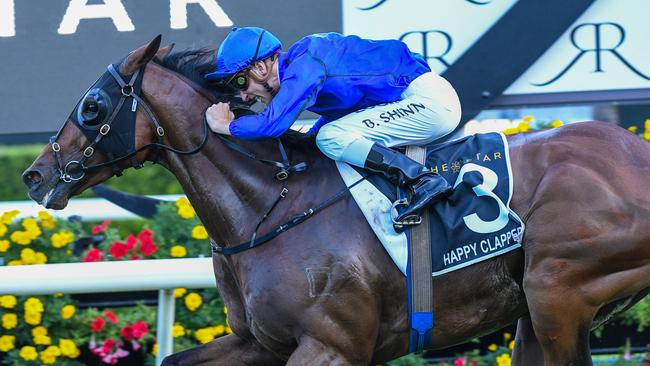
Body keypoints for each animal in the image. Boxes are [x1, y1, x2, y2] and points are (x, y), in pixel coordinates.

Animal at [21, 35, 648, 364]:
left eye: (93, 107)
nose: (32, 175)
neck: (269, 207)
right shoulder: (261, 342)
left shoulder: (331, 344)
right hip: (534, 312)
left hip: (557, 290)